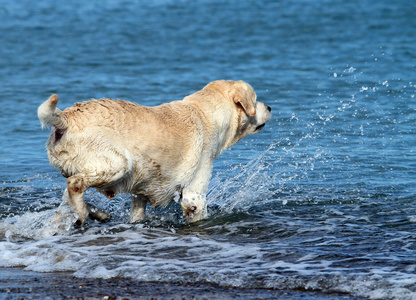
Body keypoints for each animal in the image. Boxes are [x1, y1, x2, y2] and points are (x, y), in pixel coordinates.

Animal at [39, 81, 272, 226]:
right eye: (255, 99)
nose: (269, 107)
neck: (206, 114)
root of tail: (66, 118)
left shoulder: (139, 195)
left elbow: (137, 213)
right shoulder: (194, 196)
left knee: (67, 196)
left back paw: (97, 213)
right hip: (118, 162)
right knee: (75, 184)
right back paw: (82, 214)